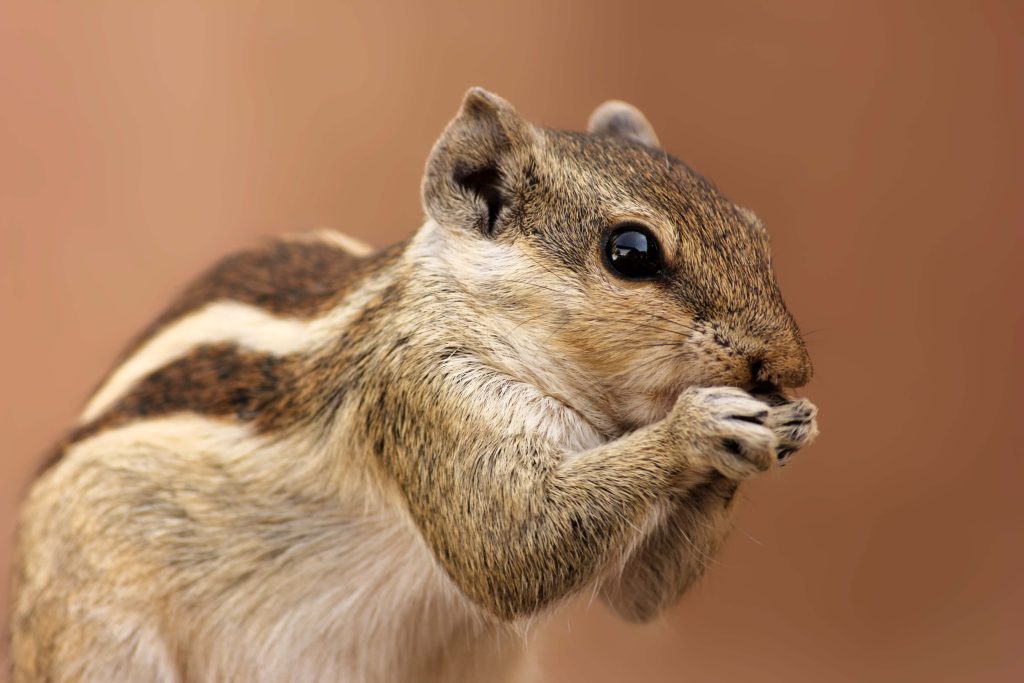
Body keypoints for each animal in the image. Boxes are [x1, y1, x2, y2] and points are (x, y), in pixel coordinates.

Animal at [10, 88, 819, 682]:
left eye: (756, 232)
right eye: (630, 252)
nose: (788, 368)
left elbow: (635, 596)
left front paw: (788, 423)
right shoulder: (425, 397)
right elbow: (512, 549)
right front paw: (700, 425)